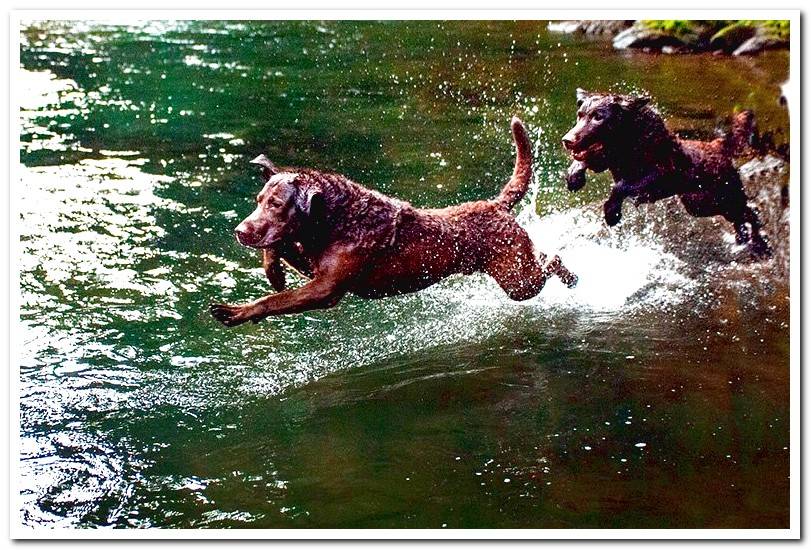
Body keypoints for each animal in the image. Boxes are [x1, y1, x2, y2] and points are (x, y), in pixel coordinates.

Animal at [209, 117, 576, 328]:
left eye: (276, 204)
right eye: (258, 201)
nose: (239, 231)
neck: (338, 218)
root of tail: (495, 204)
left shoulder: (326, 288)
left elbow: (273, 301)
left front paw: (234, 312)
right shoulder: (314, 266)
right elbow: (281, 247)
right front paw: (273, 272)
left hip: (518, 280)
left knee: (549, 260)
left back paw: (569, 274)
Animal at [560, 90, 772, 258]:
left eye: (599, 117)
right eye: (580, 115)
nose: (567, 140)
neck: (631, 141)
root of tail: (719, 145)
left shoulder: (658, 176)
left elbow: (621, 186)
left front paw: (612, 213)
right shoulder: (605, 159)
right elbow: (583, 160)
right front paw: (574, 178)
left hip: (723, 198)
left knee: (750, 213)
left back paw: (760, 245)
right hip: (699, 204)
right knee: (740, 218)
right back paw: (742, 239)